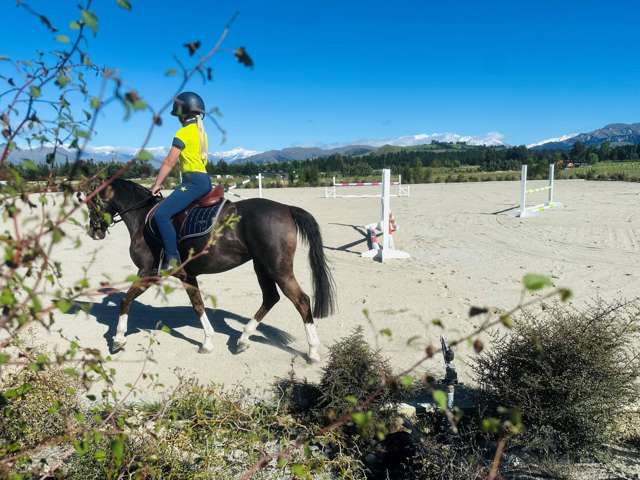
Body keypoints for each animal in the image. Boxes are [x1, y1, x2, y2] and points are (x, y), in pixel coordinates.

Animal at [82, 178, 338, 362]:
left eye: (92, 201)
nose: (94, 231)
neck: (143, 217)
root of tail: (285, 208)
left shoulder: (148, 272)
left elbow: (126, 300)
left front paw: (118, 339)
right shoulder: (187, 275)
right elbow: (198, 305)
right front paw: (207, 342)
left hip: (278, 268)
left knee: (301, 300)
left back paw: (312, 352)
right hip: (262, 266)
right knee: (270, 298)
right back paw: (243, 339)